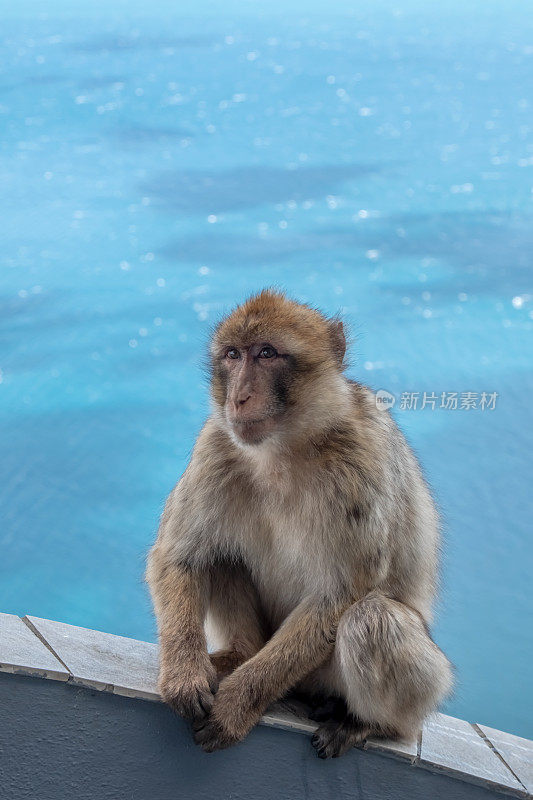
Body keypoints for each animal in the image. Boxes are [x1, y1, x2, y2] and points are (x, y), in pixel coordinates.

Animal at [147, 290, 454, 760]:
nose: (238, 397)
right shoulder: (214, 446)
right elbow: (179, 556)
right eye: (233, 355)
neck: (284, 448)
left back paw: (368, 723)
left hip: (407, 683)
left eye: (267, 353)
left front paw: (237, 705)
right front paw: (185, 675)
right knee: (221, 555)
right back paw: (238, 655)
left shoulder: (358, 465)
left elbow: (338, 597)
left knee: (372, 618)